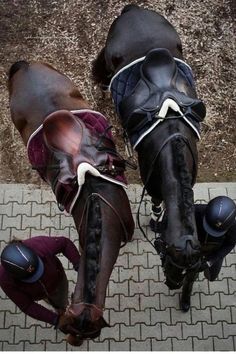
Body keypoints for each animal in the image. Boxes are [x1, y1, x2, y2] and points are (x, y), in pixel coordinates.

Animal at [91, 4, 206, 290]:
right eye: (169, 255)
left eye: (192, 269)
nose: (174, 285)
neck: (171, 141)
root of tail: (133, 10)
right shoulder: (152, 184)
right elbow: (156, 204)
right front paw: (155, 221)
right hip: (108, 58)